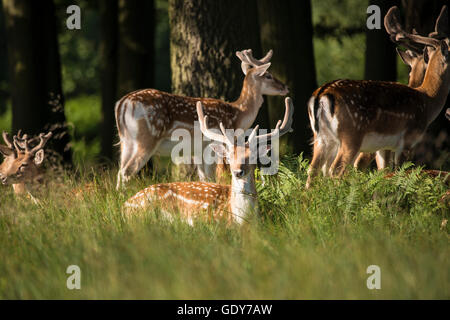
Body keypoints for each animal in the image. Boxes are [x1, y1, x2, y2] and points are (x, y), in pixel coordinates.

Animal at [116, 48, 288, 189]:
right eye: (268, 75)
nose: (285, 87)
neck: (238, 114)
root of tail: (122, 104)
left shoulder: (198, 150)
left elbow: (205, 178)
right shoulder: (214, 143)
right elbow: (216, 175)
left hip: (126, 141)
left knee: (120, 170)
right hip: (147, 138)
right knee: (127, 171)